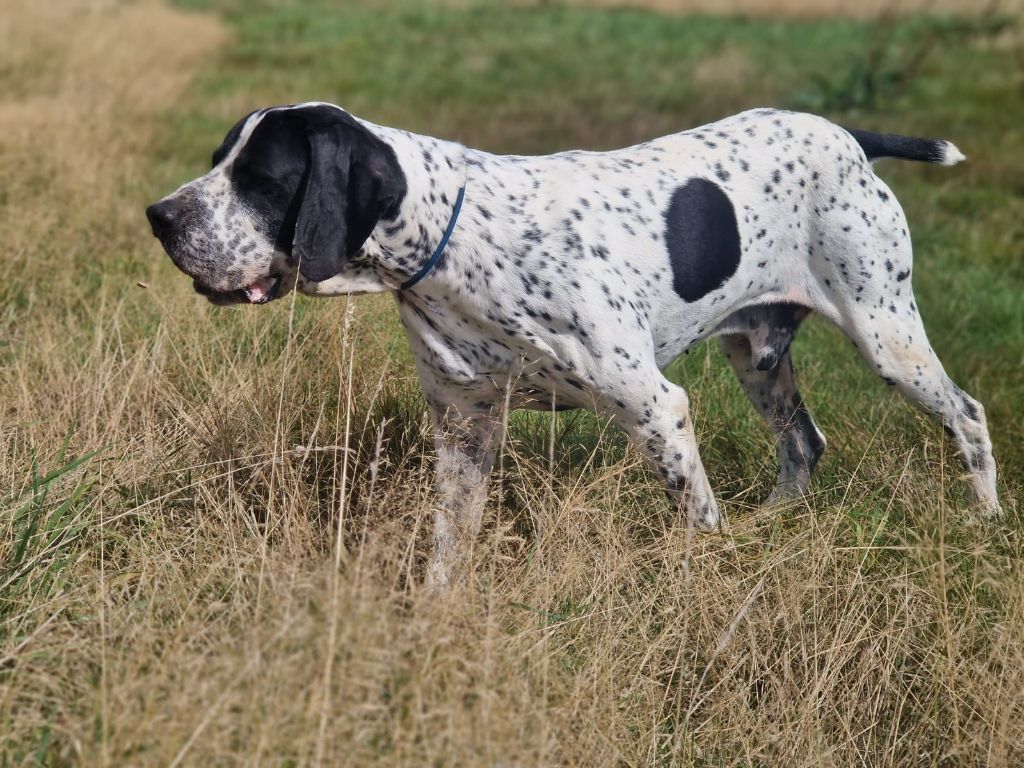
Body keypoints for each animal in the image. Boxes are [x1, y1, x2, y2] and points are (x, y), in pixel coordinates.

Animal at [148, 103, 1003, 589]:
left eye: (262, 177)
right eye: (219, 160)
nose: (159, 217)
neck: (456, 241)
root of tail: (849, 135)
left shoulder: (657, 409)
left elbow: (695, 523)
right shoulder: (464, 432)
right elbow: (447, 550)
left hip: (886, 336)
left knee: (967, 415)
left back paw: (987, 524)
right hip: (757, 355)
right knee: (803, 443)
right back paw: (772, 527)